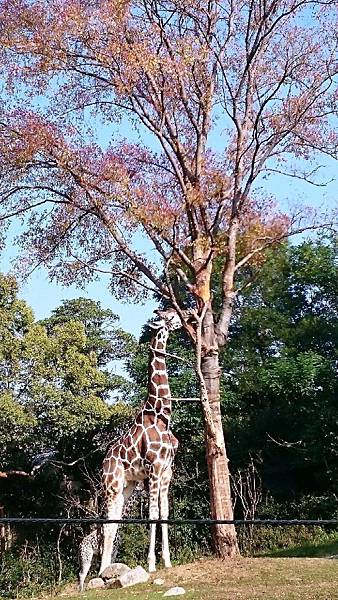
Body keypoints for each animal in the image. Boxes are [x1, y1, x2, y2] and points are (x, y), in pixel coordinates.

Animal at [99, 308, 185, 576]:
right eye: (169, 316)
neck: (162, 414)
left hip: (128, 486)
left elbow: (164, 513)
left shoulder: (167, 470)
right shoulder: (154, 468)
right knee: (107, 523)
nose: (185, 315)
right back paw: (100, 571)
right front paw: (151, 563)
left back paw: (107, 569)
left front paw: (167, 561)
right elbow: (152, 514)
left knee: (115, 521)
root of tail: (104, 462)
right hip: (112, 485)